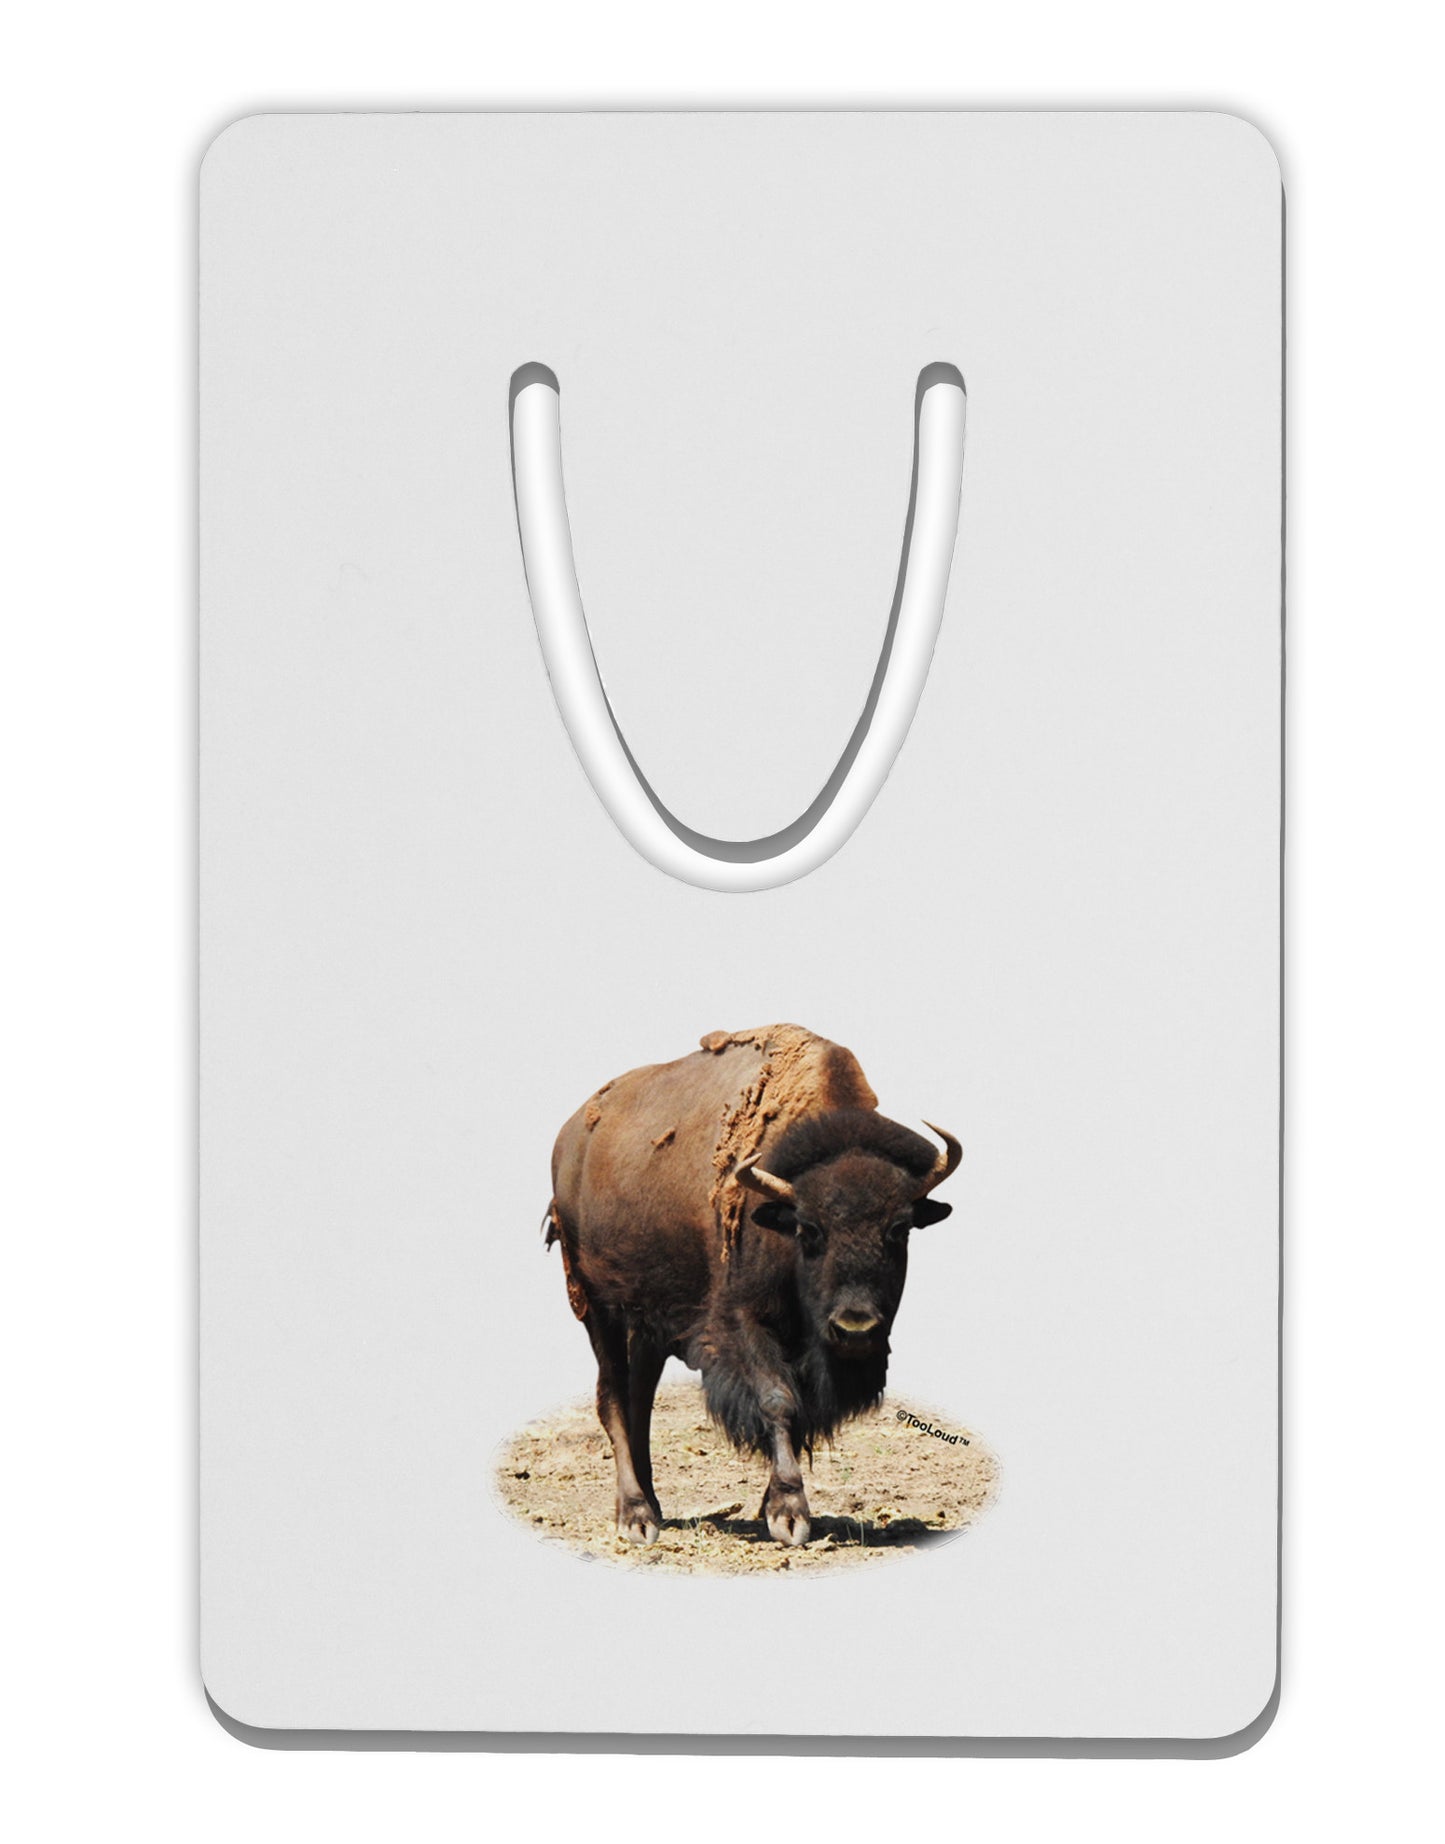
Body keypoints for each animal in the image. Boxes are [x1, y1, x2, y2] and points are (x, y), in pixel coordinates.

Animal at [546, 1024, 961, 1546]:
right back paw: (636, 1516)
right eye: (808, 1229)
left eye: (899, 1229)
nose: (855, 1328)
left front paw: (774, 1505)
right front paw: (789, 1513)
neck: (778, 1210)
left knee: (640, 1399)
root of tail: (569, 1140)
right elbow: (777, 1401)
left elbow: (800, 1412)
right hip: (596, 1305)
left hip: (649, 1324)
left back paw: (655, 1507)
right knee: (613, 1398)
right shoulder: (743, 1322)